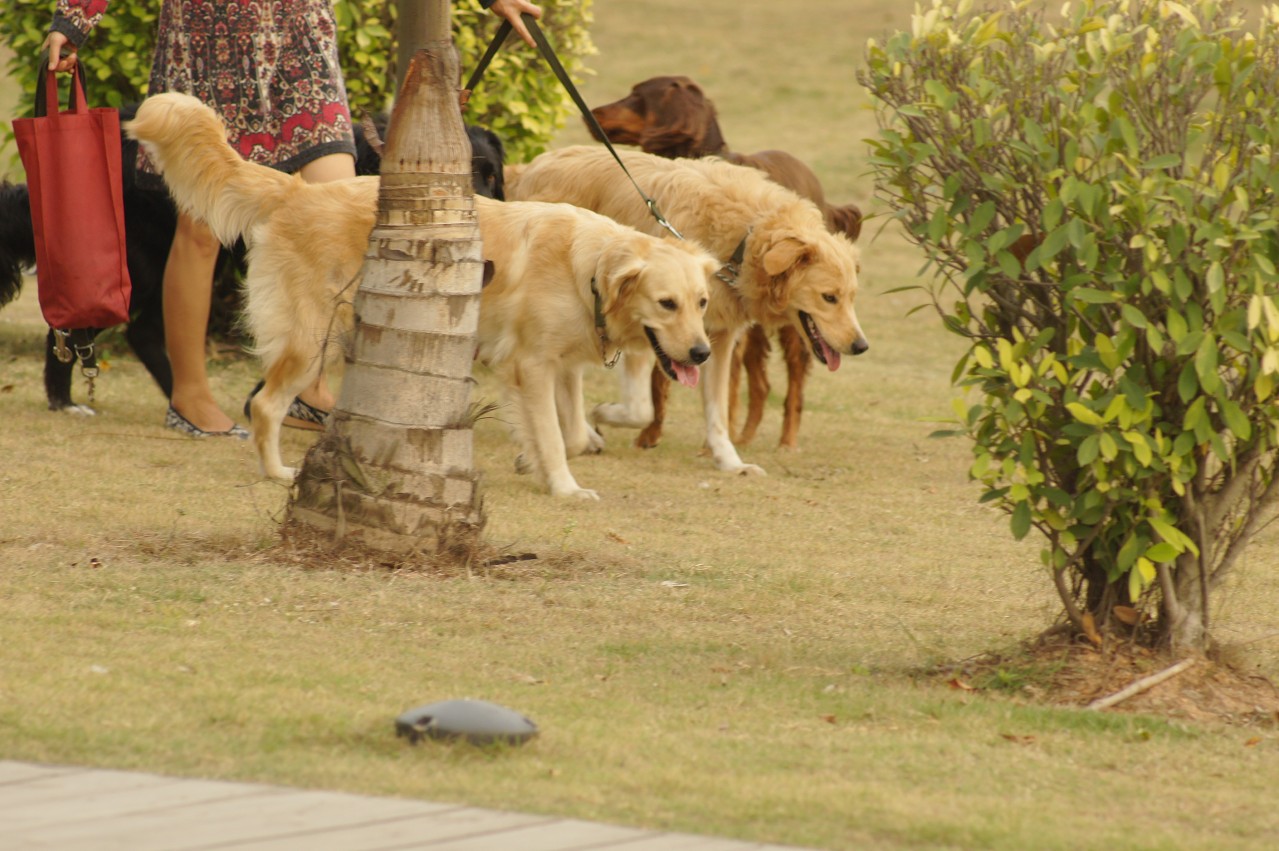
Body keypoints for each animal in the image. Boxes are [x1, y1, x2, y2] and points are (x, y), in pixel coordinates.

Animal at [1, 108, 509, 412]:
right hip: (142, 264)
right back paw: (72, 400)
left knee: (129, 330)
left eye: (491, 175)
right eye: (455, 182)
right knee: (92, 324)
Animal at [588, 77, 869, 450]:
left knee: (796, 375)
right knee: (761, 383)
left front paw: (715, 438)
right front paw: (651, 432)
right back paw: (746, 434)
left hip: (795, 324)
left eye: (637, 96)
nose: (591, 112)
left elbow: (722, 384)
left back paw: (786, 439)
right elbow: (663, 372)